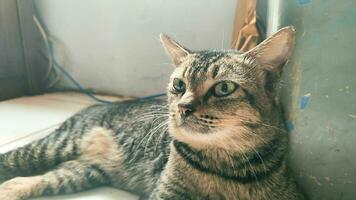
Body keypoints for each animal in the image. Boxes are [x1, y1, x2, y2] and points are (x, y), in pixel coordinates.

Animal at [0, 27, 306, 200]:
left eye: (224, 88)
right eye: (179, 85)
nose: (183, 107)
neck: (223, 163)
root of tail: (93, 105)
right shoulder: (166, 193)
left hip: (83, 171)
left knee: (26, 180)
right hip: (54, 147)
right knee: (10, 160)